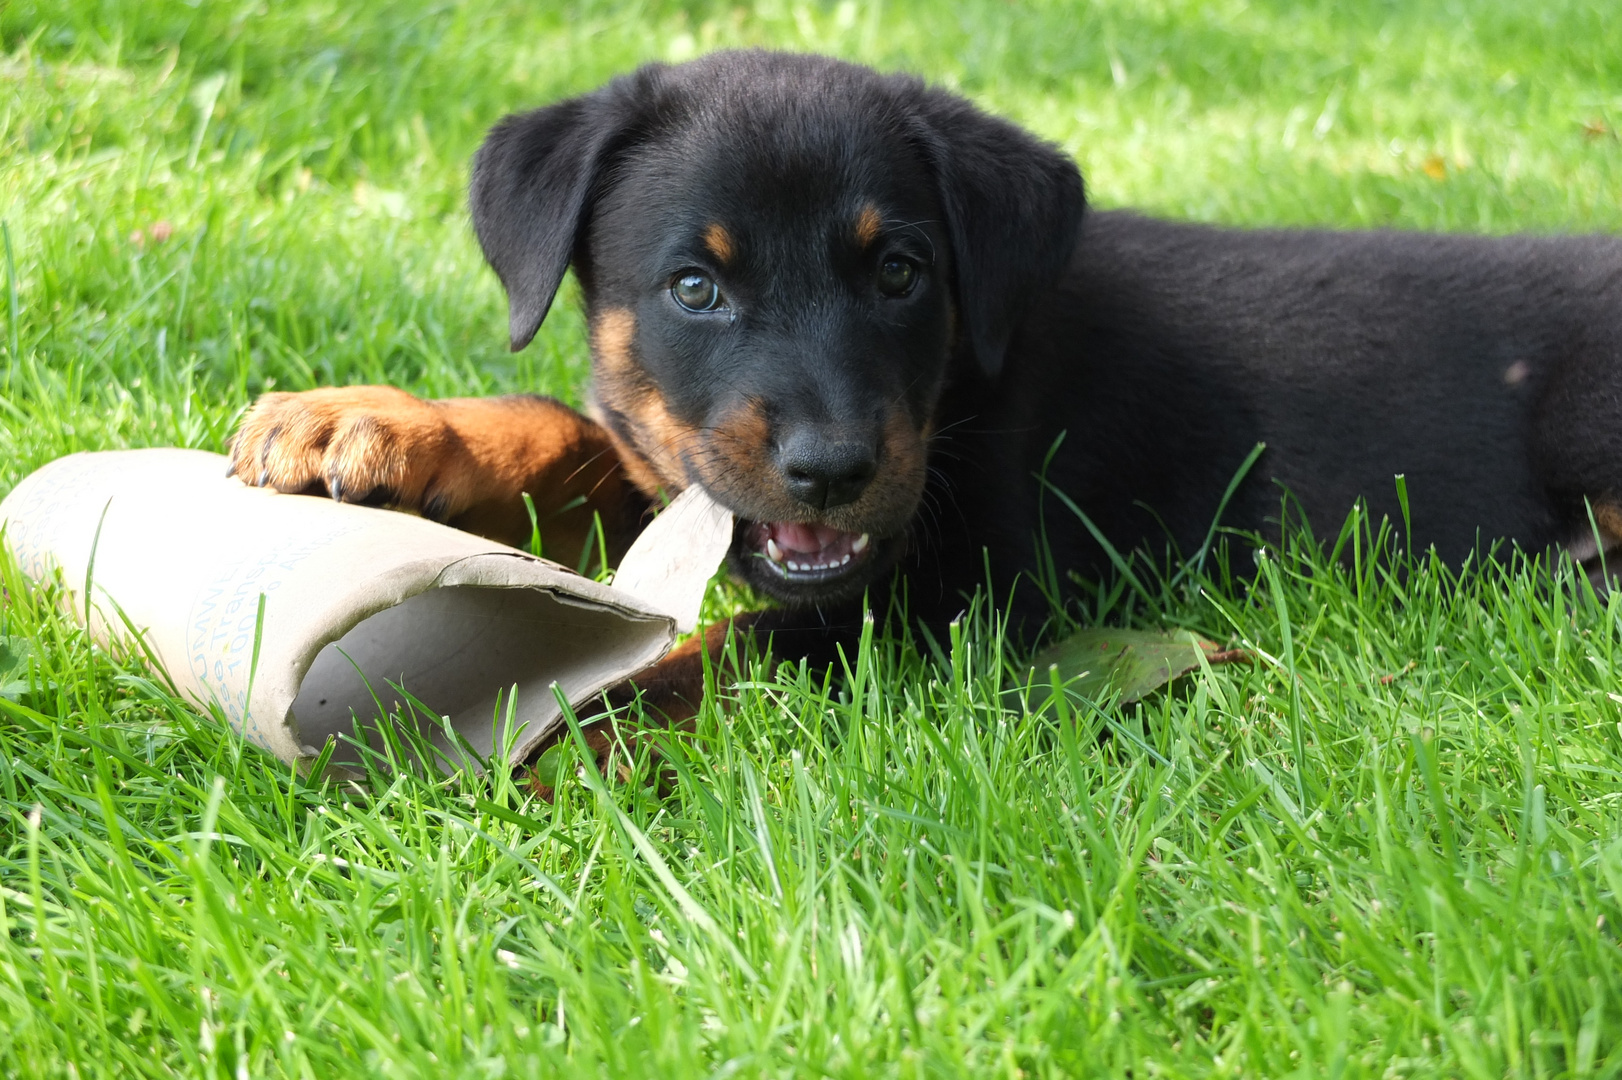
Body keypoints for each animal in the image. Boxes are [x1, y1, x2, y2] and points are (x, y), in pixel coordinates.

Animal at [235, 48, 1622, 707]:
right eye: (695, 287)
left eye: (899, 272)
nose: (832, 470)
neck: (965, 388)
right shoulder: (705, 480)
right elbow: (571, 430)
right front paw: (367, 423)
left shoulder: (971, 590)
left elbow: (732, 645)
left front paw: (564, 730)